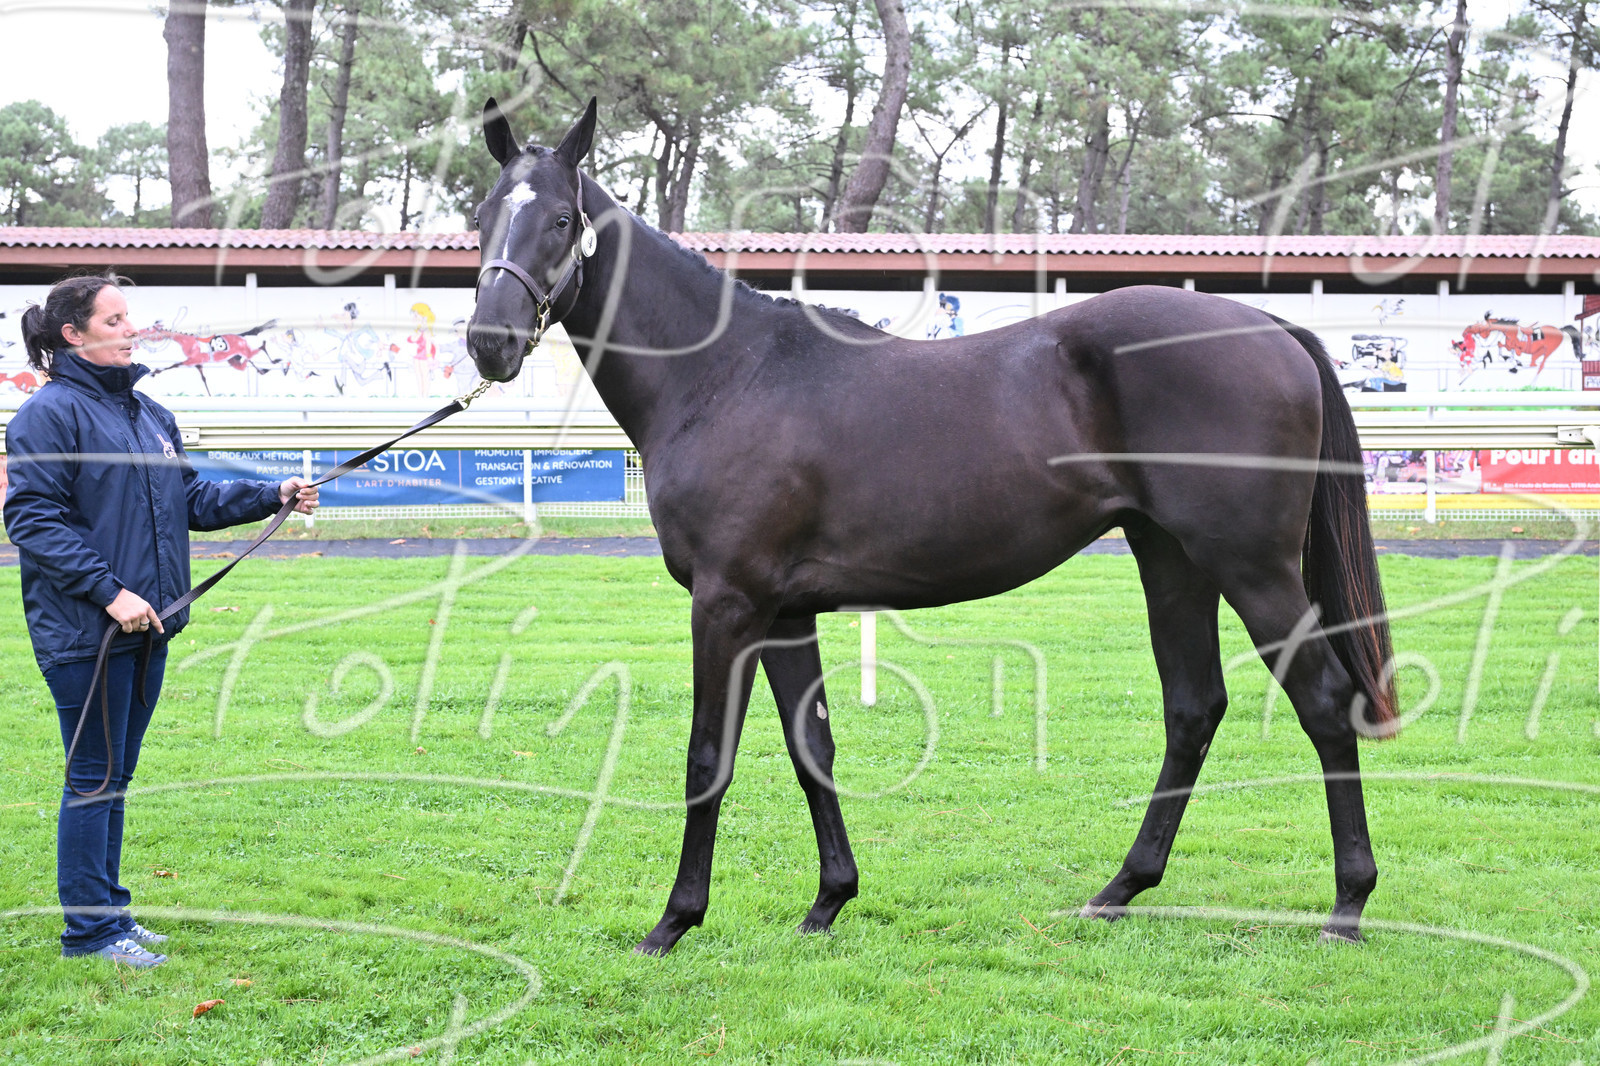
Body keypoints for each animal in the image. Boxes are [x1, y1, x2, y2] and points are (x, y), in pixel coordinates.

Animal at [466, 99, 1397, 957]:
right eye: (482, 214)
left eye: (560, 219)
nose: (488, 344)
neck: (725, 373)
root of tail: (1271, 325)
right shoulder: (785, 611)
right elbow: (813, 747)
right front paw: (829, 901)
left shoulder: (726, 604)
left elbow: (707, 758)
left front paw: (674, 921)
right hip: (1172, 560)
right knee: (1193, 709)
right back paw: (1120, 890)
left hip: (1253, 569)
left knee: (1323, 703)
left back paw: (1348, 904)